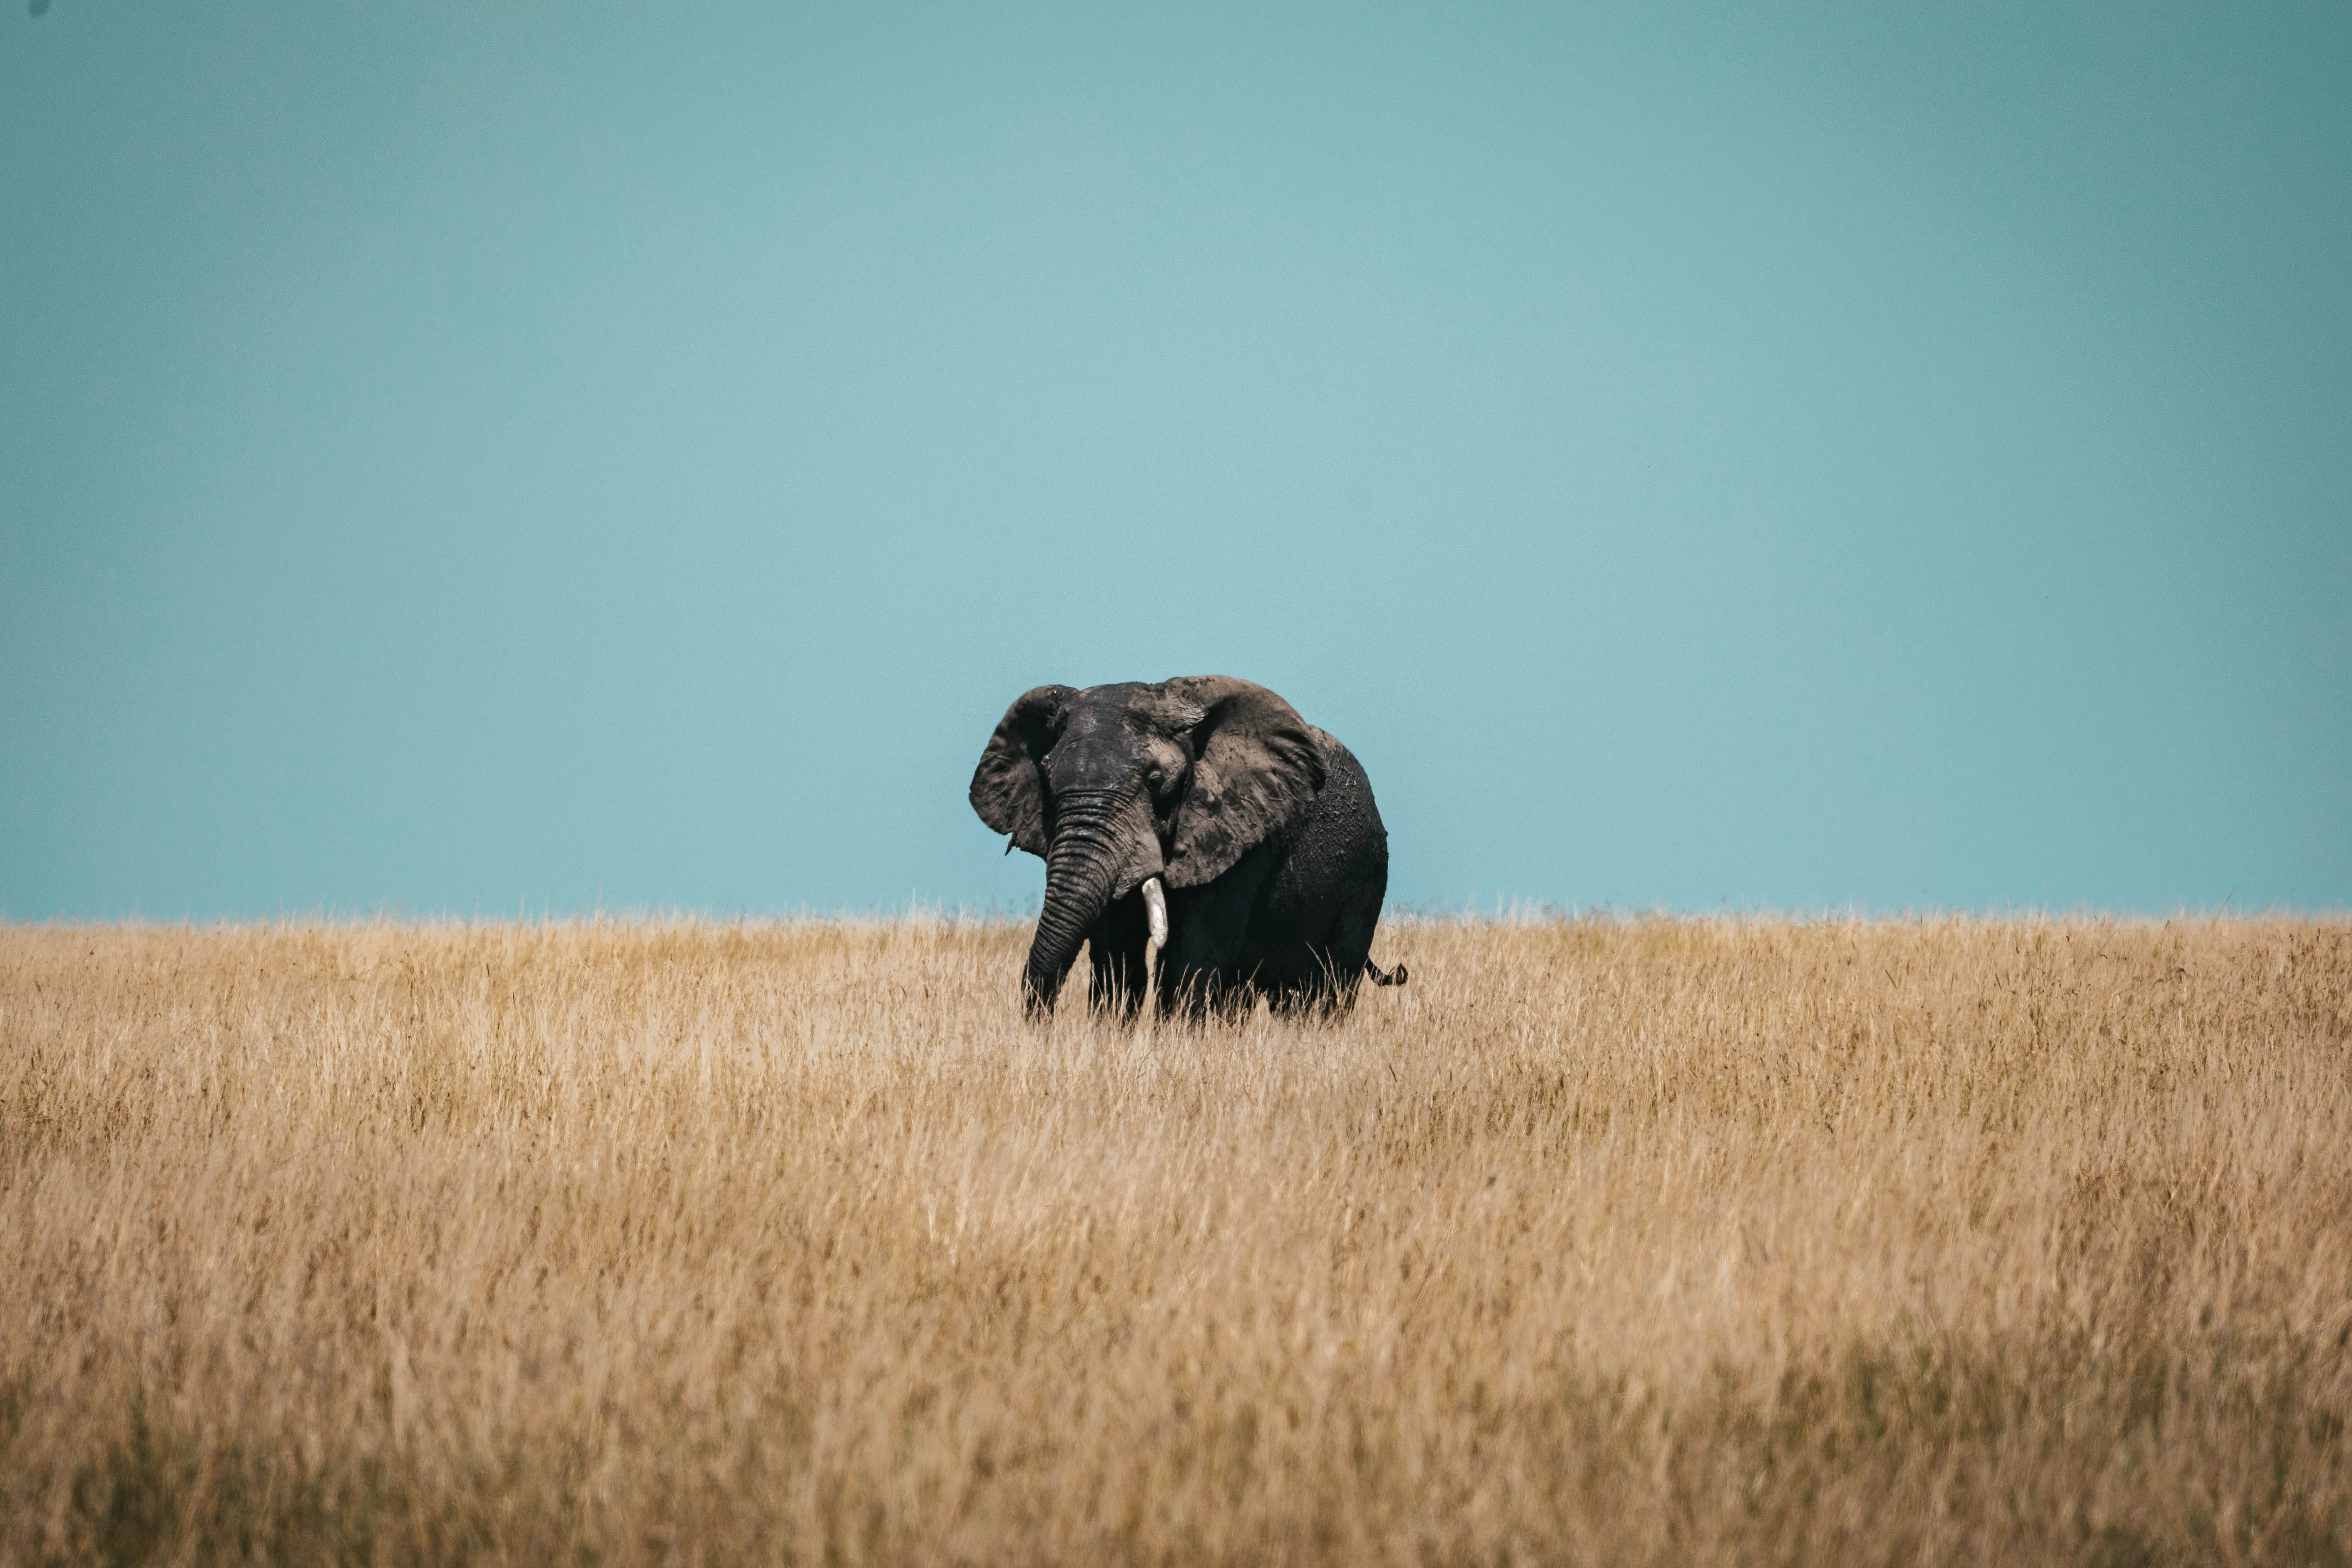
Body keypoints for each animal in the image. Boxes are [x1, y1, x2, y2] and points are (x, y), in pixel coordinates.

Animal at [969, 675, 1407, 1018]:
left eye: (1156, 782)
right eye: (1046, 780)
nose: (1042, 1027)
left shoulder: (1240, 843)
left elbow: (1190, 958)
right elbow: (1117, 956)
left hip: (1366, 880)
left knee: (1327, 988)